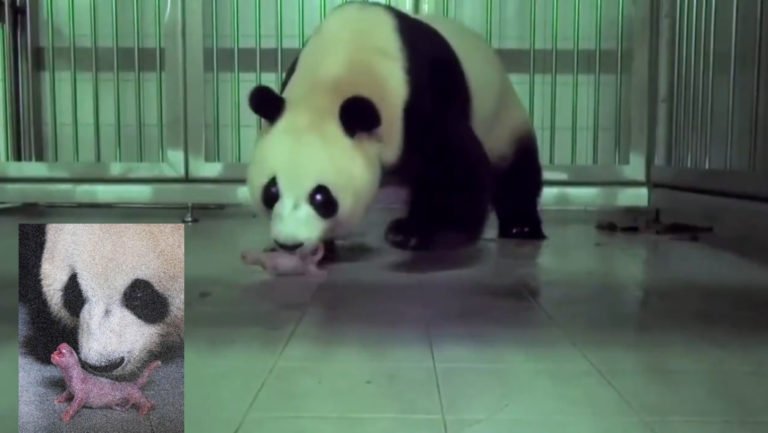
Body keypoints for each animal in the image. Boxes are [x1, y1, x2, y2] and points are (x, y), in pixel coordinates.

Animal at [248, 0, 544, 260]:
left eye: (321, 197)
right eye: (271, 191)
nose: (289, 243)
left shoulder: (417, 99)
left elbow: (453, 166)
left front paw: (412, 234)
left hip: (502, 118)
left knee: (516, 170)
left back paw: (521, 226)